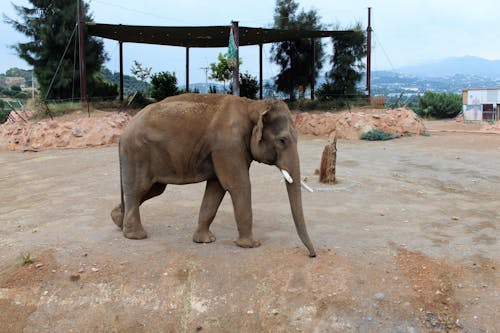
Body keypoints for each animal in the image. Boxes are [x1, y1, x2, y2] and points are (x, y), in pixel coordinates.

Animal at [111, 93, 316, 256]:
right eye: (282, 140)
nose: (312, 255)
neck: (253, 105)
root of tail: (124, 131)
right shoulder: (228, 145)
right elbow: (238, 185)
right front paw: (251, 245)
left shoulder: (224, 150)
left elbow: (216, 189)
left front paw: (204, 241)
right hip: (137, 153)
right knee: (138, 190)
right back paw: (136, 235)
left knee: (152, 190)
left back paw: (118, 220)